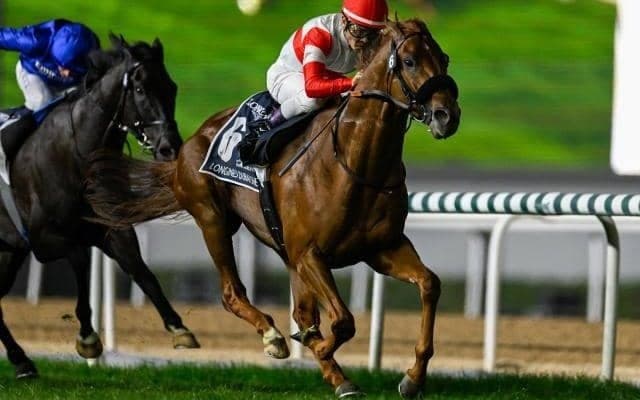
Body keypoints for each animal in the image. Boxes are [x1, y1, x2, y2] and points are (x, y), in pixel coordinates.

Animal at [0, 34, 200, 379]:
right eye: (140, 89)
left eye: (171, 87)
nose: (169, 147)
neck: (77, 153)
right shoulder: (45, 239)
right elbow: (81, 261)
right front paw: (88, 338)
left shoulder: (112, 228)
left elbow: (141, 270)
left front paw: (179, 328)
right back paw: (22, 360)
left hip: (7, 254)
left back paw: (22, 361)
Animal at [87, 19, 460, 398]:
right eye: (410, 61)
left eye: (444, 58)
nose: (447, 116)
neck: (355, 164)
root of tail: (188, 145)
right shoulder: (309, 252)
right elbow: (342, 321)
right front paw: (316, 348)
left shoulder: (381, 248)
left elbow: (429, 284)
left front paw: (413, 377)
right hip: (213, 218)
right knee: (232, 293)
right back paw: (274, 337)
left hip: (284, 251)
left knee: (304, 311)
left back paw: (332, 371)